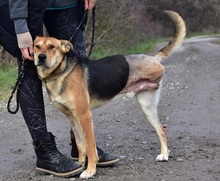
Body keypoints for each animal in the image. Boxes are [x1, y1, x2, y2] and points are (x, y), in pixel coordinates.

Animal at [33, 10, 186, 179]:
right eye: (36, 46)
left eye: (52, 46)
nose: (41, 57)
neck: (60, 73)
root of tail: (153, 58)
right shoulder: (72, 118)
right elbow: (80, 145)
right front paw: (80, 164)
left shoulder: (84, 116)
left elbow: (90, 147)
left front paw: (90, 170)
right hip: (147, 108)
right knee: (161, 129)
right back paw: (165, 153)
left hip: (147, 106)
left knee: (162, 131)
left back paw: (164, 155)